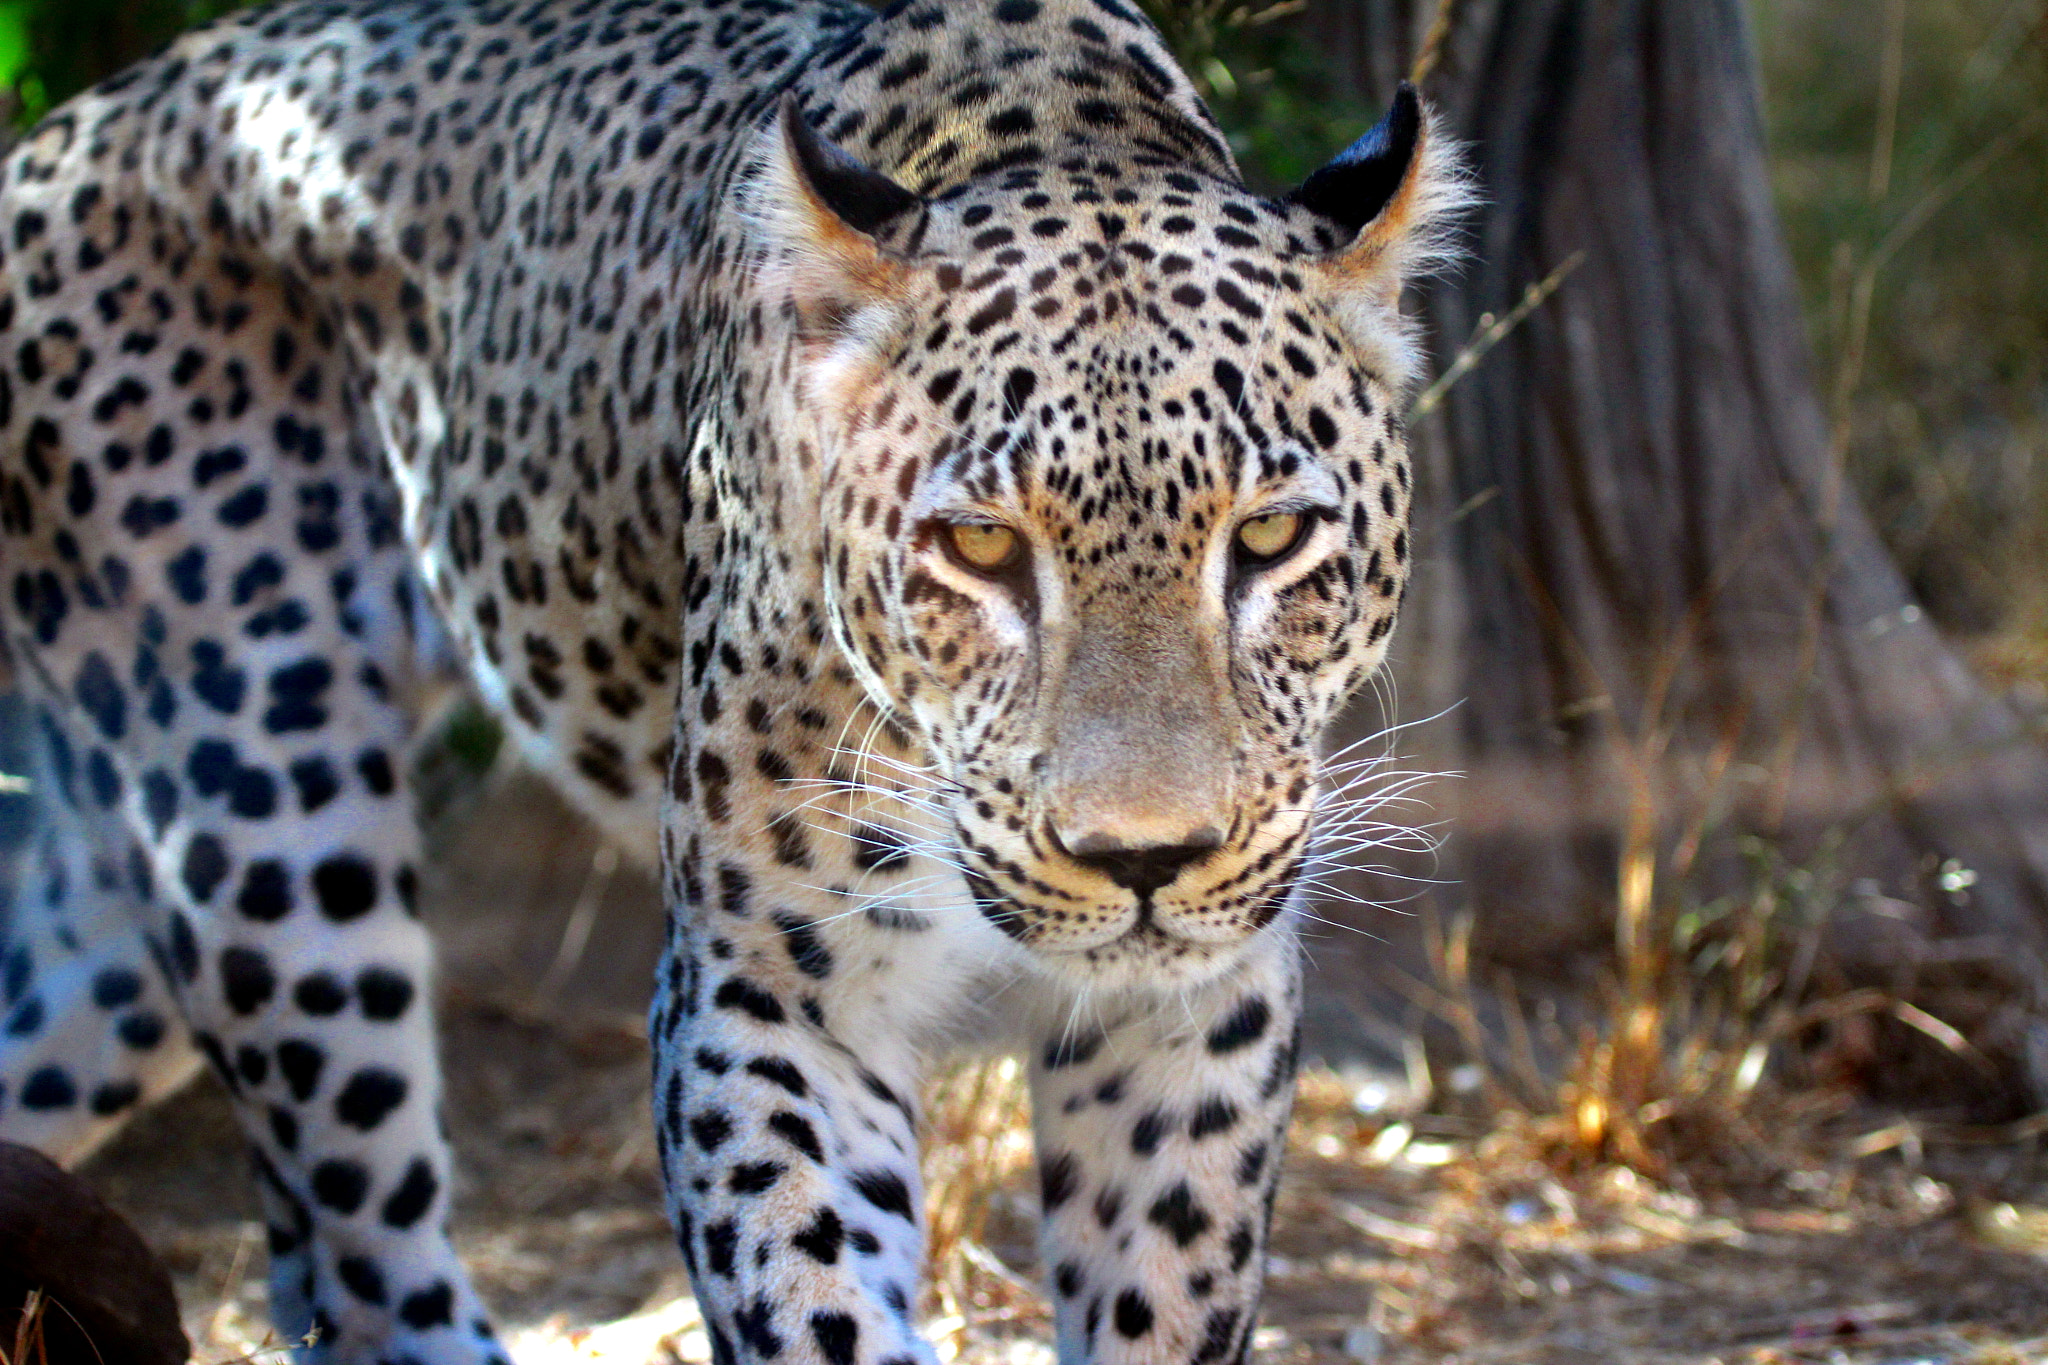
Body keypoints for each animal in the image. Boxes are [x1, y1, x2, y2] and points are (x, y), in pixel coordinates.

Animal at [0, 0, 1465, 1360]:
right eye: (983, 547)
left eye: (1268, 538)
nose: (1145, 858)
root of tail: (67, 135)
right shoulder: (765, 987)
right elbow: (806, 1290)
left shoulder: (1196, 1011)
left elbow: (1162, 1291)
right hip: (266, 806)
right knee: (369, 1248)